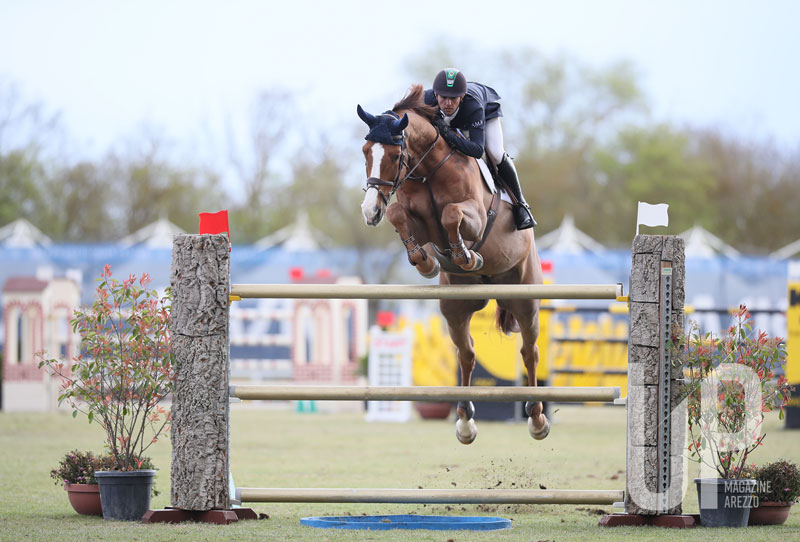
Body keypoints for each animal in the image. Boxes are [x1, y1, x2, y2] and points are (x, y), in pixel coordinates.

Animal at [358, 83, 552, 444]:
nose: (369, 211)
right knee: (467, 353)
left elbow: (451, 214)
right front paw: (426, 262)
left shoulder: (475, 216)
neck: (429, 170)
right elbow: (399, 215)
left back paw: (536, 419)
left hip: (525, 299)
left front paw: (465, 254)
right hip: (455, 308)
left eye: (394, 156)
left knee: (529, 352)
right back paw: (464, 421)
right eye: (366, 151)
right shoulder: (420, 224)